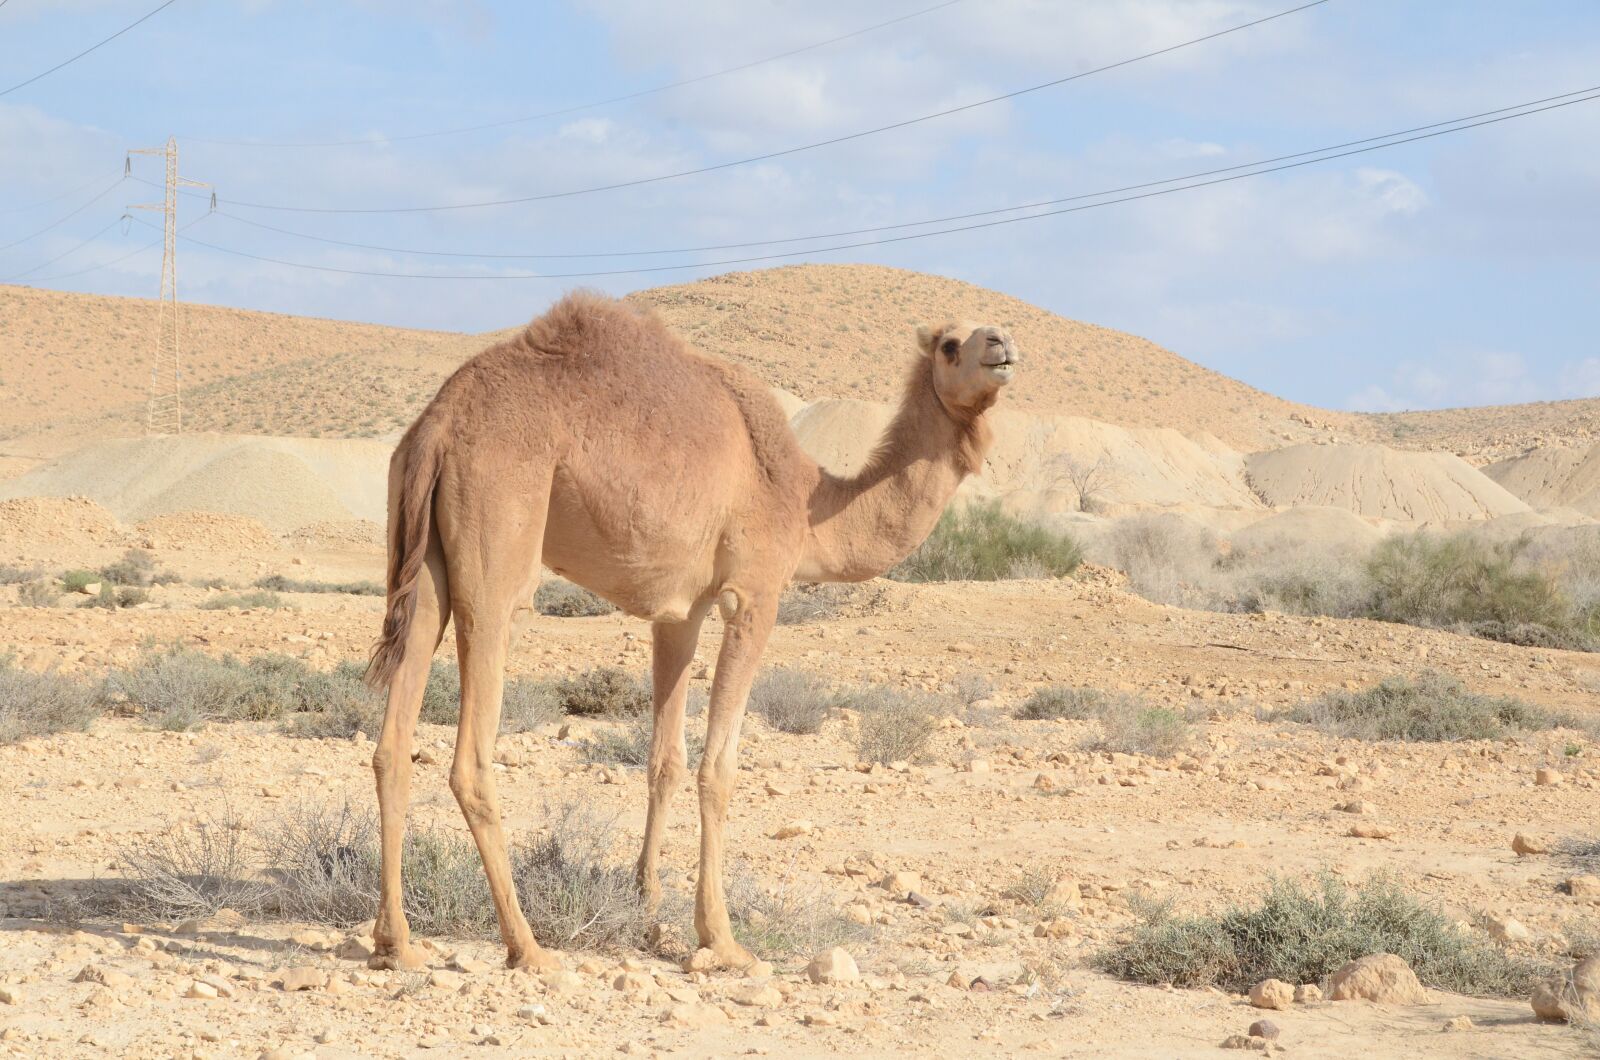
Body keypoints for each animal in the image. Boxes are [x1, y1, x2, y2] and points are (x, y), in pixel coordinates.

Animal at [364, 291, 1019, 972]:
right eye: (950, 344)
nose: (1002, 343)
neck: (807, 504)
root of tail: (438, 424)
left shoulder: (681, 610)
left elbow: (665, 761)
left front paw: (650, 915)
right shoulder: (754, 593)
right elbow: (718, 768)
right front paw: (720, 937)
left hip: (424, 559)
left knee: (393, 740)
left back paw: (397, 942)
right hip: (500, 535)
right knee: (473, 746)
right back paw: (528, 948)